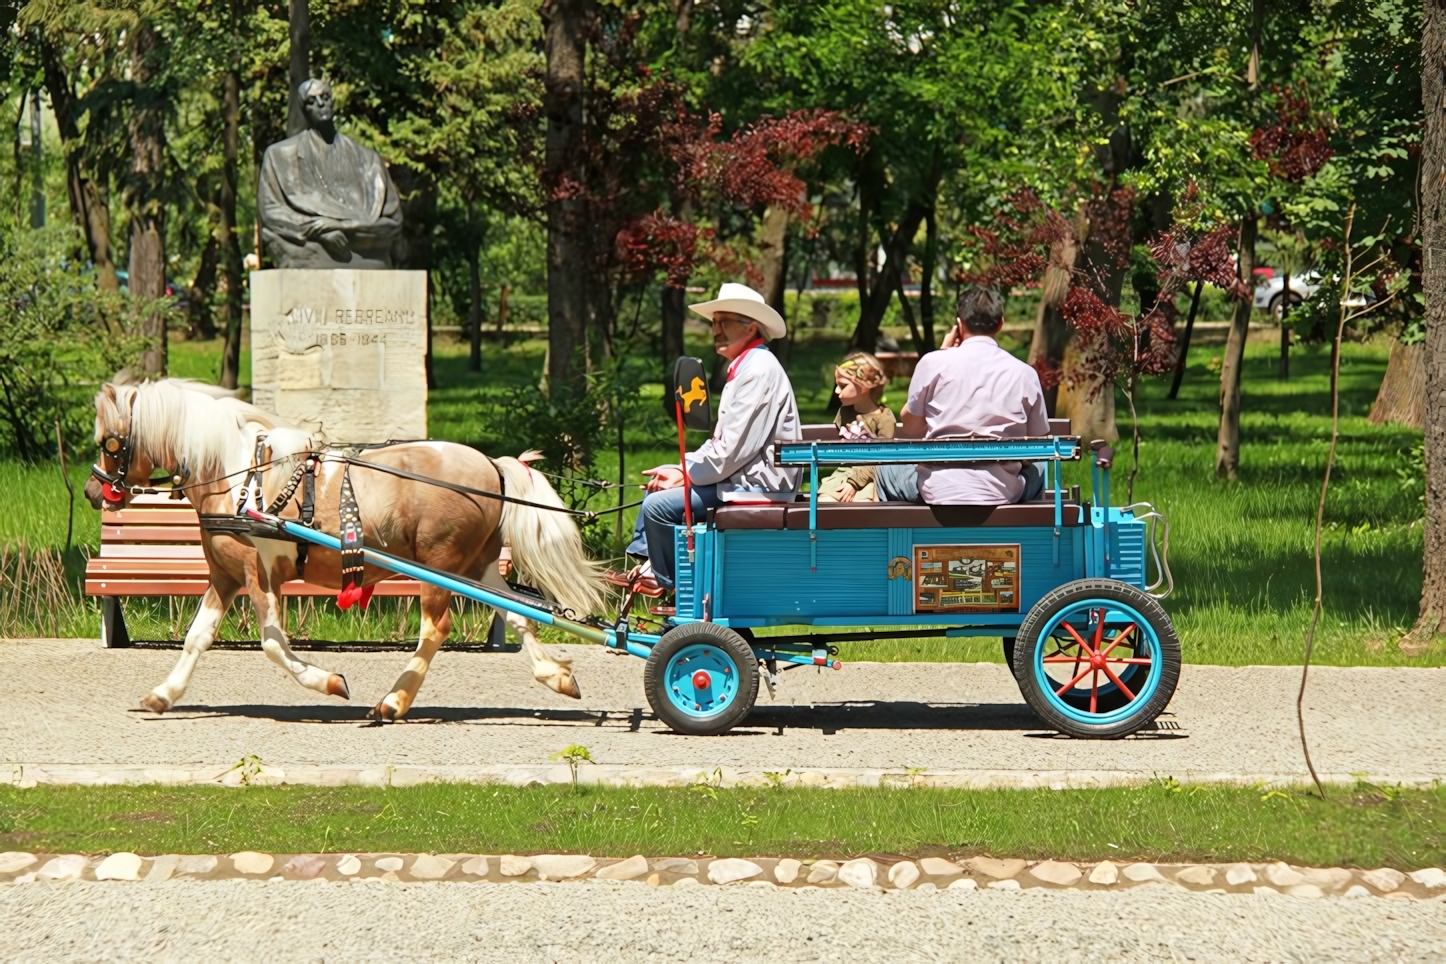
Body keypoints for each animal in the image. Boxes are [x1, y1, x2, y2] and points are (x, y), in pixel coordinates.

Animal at [84, 381, 604, 719]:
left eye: (110, 443)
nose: (93, 492)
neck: (238, 476)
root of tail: (493, 464)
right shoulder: (225, 576)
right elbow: (197, 638)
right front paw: (163, 694)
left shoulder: (259, 575)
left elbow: (273, 644)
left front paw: (329, 682)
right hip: (476, 565)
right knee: (517, 614)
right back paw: (555, 675)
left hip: (440, 565)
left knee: (436, 628)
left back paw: (393, 702)